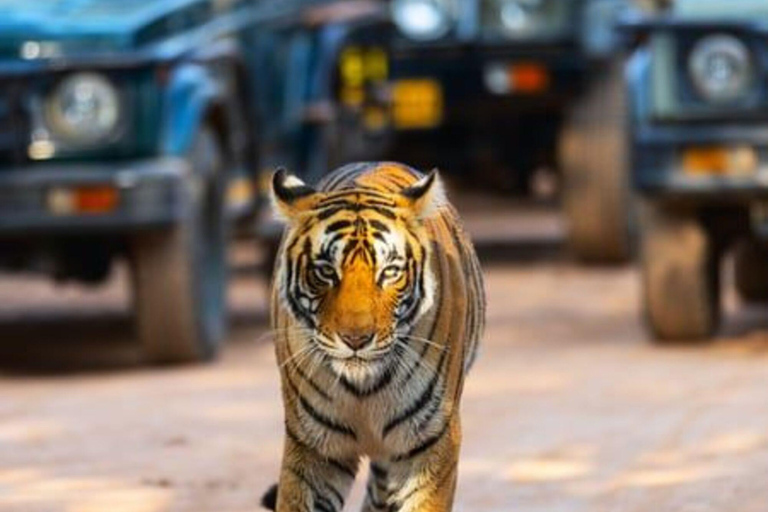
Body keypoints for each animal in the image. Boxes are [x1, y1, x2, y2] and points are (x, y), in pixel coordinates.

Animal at [264, 161, 486, 512]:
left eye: (390, 272)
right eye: (325, 271)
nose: (356, 339)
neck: (363, 389)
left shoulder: (431, 439)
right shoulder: (314, 446)